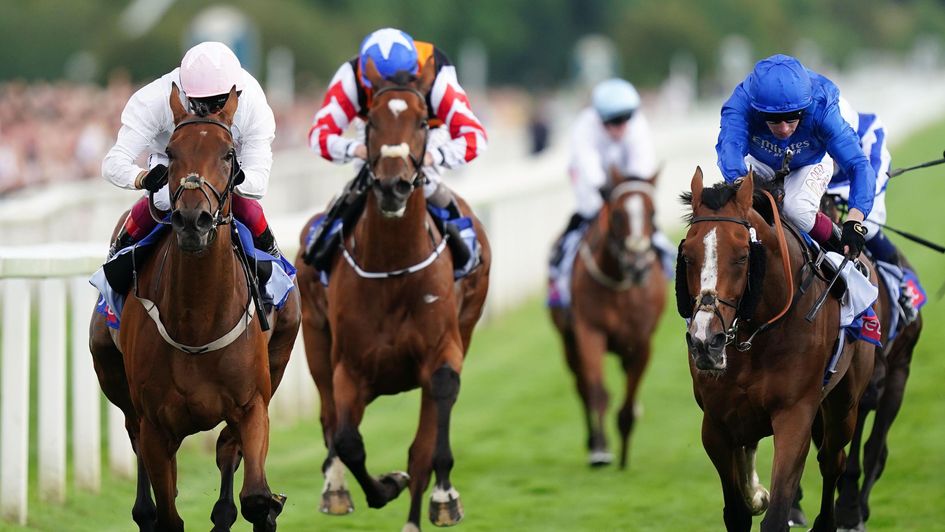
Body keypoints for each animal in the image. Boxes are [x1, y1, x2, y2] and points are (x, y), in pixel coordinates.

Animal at [87, 86, 298, 532]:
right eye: (170, 151)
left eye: (228, 154)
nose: (191, 220)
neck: (197, 323)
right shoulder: (155, 425)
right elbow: (168, 515)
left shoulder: (252, 406)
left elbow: (255, 497)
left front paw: (267, 504)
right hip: (115, 381)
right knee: (138, 451)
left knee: (226, 455)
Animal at [296, 56, 490, 528]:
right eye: (371, 122)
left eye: (422, 121)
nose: (392, 185)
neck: (394, 270)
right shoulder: (350, 367)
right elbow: (348, 440)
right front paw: (385, 485)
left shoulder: (442, 349)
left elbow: (428, 436)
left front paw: (439, 498)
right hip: (315, 339)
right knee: (329, 419)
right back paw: (335, 487)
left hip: (468, 324)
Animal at [548, 168, 668, 468]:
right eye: (617, 214)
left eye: (652, 213)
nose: (638, 265)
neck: (620, 283)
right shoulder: (590, 332)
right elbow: (598, 392)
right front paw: (601, 450)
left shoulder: (642, 342)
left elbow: (628, 399)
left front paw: (624, 454)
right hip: (568, 343)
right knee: (581, 387)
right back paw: (592, 442)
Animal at [680, 168, 876, 528]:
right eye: (687, 256)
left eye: (743, 256)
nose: (704, 342)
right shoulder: (715, 423)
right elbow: (737, 511)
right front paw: (754, 494)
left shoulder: (795, 414)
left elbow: (777, 512)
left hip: (845, 403)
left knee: (833, 459)